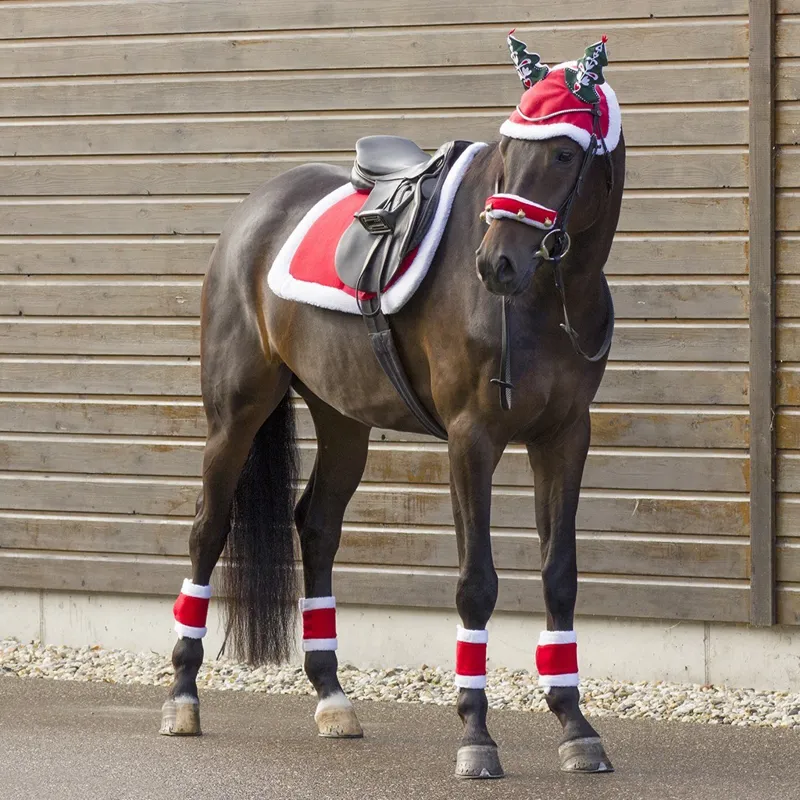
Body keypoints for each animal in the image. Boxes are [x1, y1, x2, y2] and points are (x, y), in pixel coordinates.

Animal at [160, 37, 625, 780]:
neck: (548, 298)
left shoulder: (564, 437)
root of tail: (254, 211)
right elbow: (476, 584)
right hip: (236, 411)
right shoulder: (472, 438)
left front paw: (576, 728)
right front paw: (476, 738)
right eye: (509, 147)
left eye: (563, 153)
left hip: (343, 418)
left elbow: (560, 577)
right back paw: (182, 697)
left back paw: (332, 697)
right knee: (208, 528)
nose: (494, 264)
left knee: (317, 525)